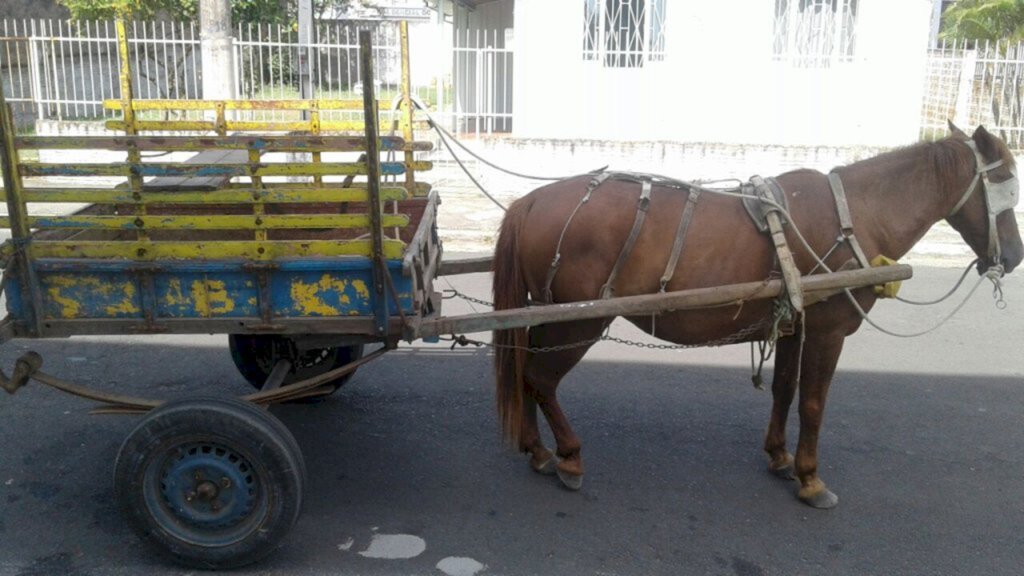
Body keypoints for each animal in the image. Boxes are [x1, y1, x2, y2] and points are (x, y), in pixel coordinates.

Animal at [491, 124, 1019, 506]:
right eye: (1004, 187)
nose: (1013, 256)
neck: (856, 215)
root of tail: (529, 202)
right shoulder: (828, 330)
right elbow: (813, 403)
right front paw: (810, 478)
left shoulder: (793, 325)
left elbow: (784, 389)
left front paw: (780, 457)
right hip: (578, 321)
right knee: (540, 377)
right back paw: (568, 456)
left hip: (549, 316)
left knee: (524, 370)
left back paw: (538, 449)